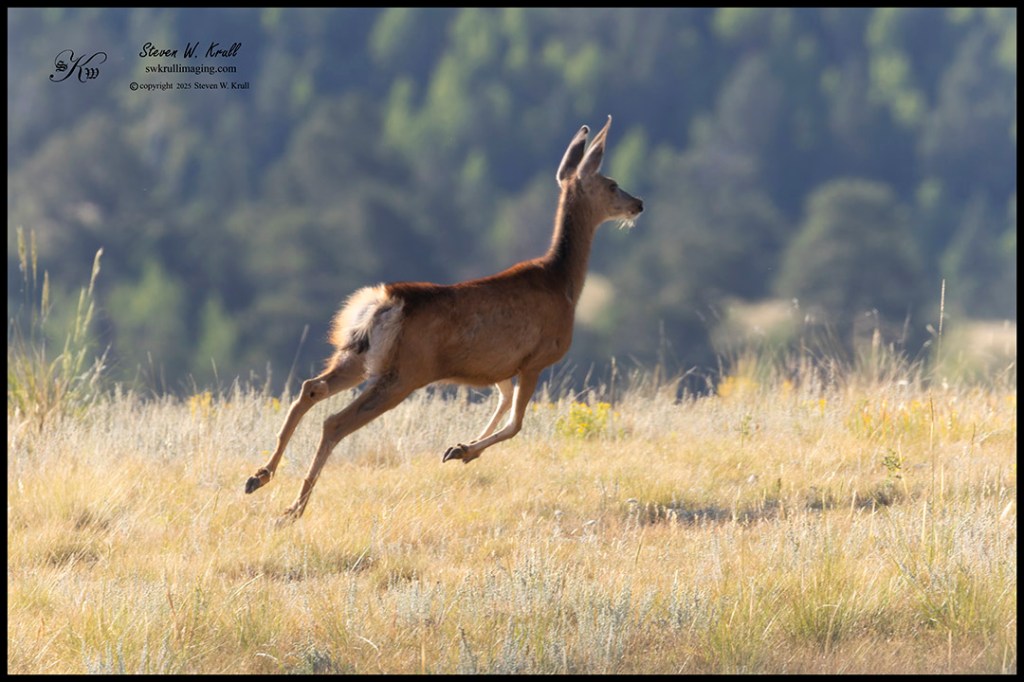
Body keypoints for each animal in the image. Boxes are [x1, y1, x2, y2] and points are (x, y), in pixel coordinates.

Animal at [245, 115, 643, 523]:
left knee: (311, 388)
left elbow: (502, 405)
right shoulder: (536, 358)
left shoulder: (496, 367)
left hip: (357, 356)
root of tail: (384, 303)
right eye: (612, 184)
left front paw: (460, 448)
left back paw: (259, 476)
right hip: (407, 371)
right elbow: (516, 422)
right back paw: (294, 507)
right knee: (335, 421)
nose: (639, 204)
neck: (562, 282)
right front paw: (464, 450)